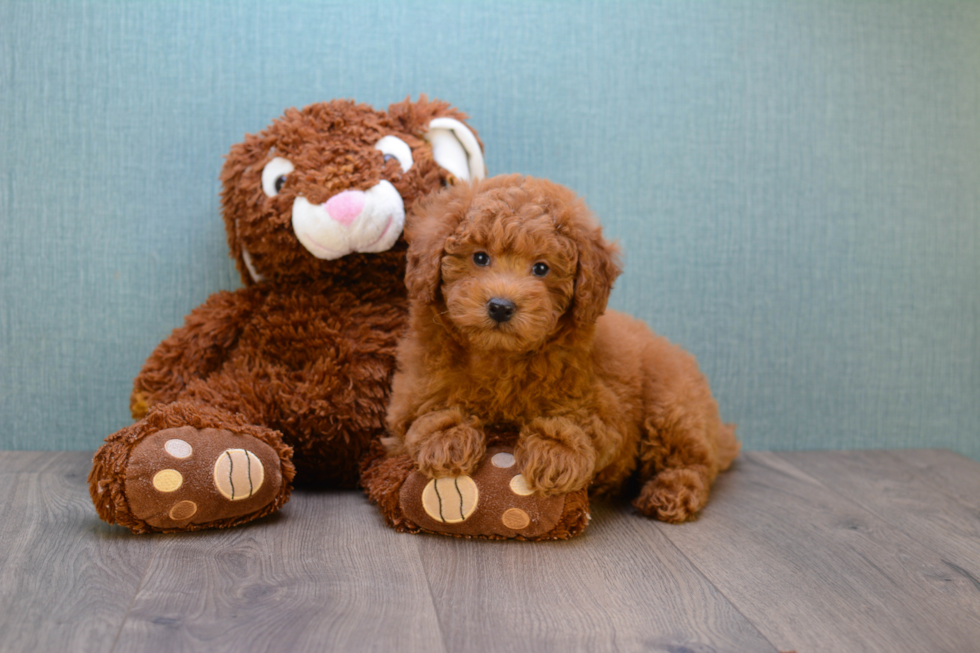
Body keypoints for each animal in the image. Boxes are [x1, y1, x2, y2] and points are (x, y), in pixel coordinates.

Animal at [386, 173, 740, 520]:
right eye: (480, 257)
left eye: (541, 268)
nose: (501, 306)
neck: (500, 358)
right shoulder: (412, 390)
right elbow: (426, 413)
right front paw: (446, 439)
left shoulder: (605, 406)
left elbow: (577, 421)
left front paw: (554, 452)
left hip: (671, 406)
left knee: (694, 461)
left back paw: (670, 492)